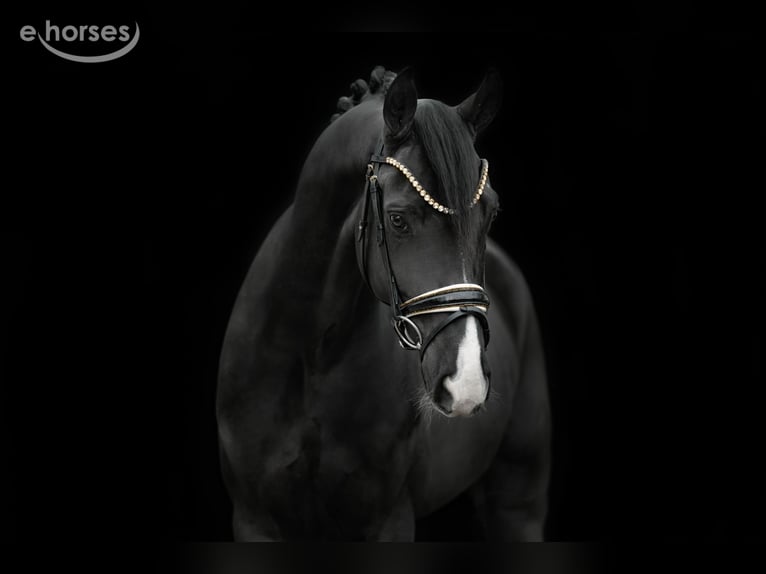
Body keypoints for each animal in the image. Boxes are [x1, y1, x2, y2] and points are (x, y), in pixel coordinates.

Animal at [216, 66, 551, 541]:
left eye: (491, 213)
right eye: (397, 219)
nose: (465, 382)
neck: (312, 356)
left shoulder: (386, 521)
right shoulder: (255, 518)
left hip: (517, 502)